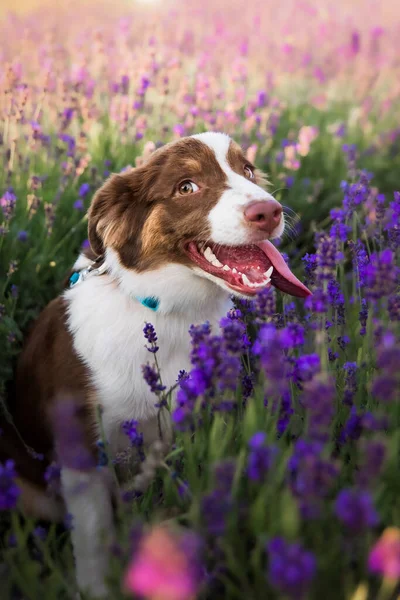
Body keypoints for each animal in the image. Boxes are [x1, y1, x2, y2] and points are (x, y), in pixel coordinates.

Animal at [0, 131, 310, 596]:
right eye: (186, 187)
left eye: (248, 170)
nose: (268, 211)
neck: (171, 313)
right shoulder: (82, 458)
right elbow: (93, 541)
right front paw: (97, 588)